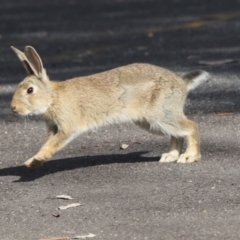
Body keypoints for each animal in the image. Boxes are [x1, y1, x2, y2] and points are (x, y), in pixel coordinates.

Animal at [10, 45, 209, 169]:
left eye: (30, 90)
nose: (13, 108)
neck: (52, 97)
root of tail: (182, 83)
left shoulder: (67, 126)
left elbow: (52, 145)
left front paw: (37, 159)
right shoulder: (53, 127)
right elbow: (48, 143)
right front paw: (33, 163)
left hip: (159, 115)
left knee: (191, 127)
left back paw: (189, 156)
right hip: (152, 121)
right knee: (177, 135)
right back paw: (170, 157)